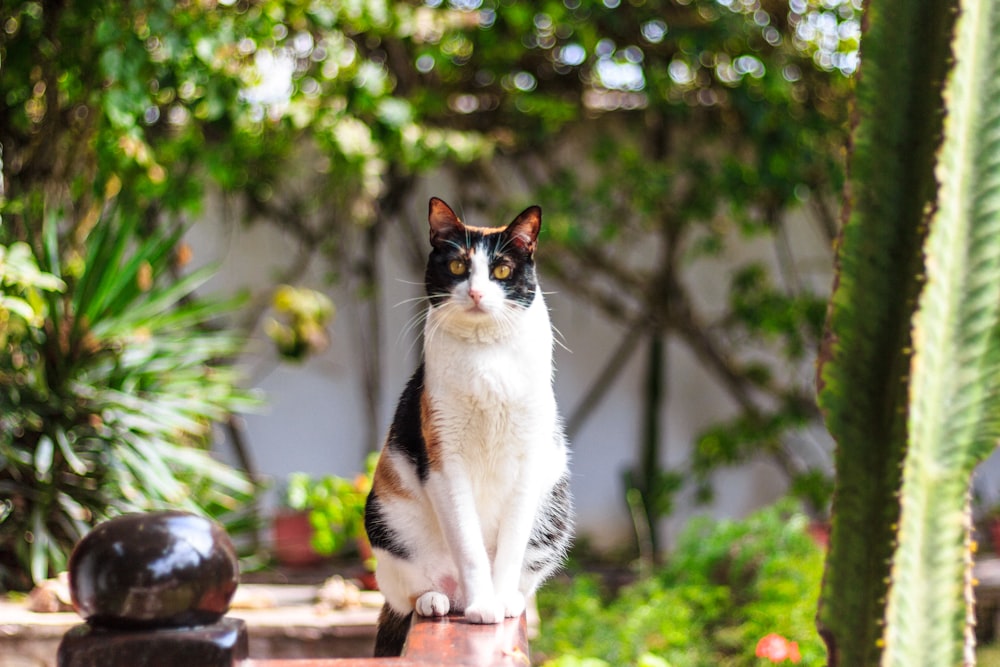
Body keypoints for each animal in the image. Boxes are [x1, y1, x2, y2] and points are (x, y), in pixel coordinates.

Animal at [366, 196, 572, 656]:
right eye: (458, 266)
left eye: (501, 271)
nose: (476, 292)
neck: (487, 357)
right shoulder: (445, 461)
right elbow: (471, 548)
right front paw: (482, 608)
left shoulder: (529, 461)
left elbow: (508, 550)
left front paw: (498, 602)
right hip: (387, 524)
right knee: (407, 593)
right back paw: (437, 601)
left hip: (554, 513)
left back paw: (510, 600)